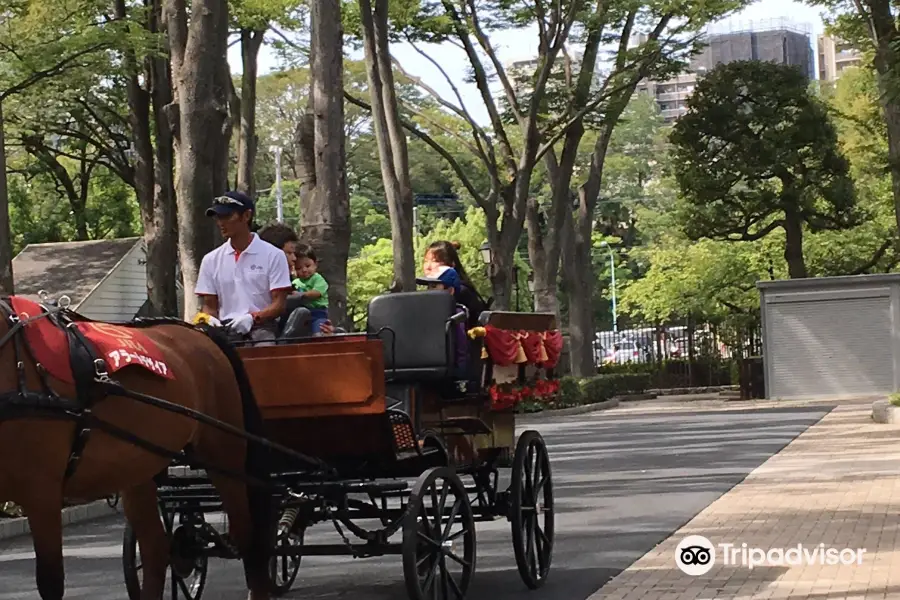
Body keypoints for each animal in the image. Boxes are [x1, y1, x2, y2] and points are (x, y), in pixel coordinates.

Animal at [0, 300, 272, 600]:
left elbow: (51, 582)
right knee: (156, 549)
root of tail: (201, 332)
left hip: (225, 459)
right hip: (136, 469)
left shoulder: (42, 493)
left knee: (248, 538)